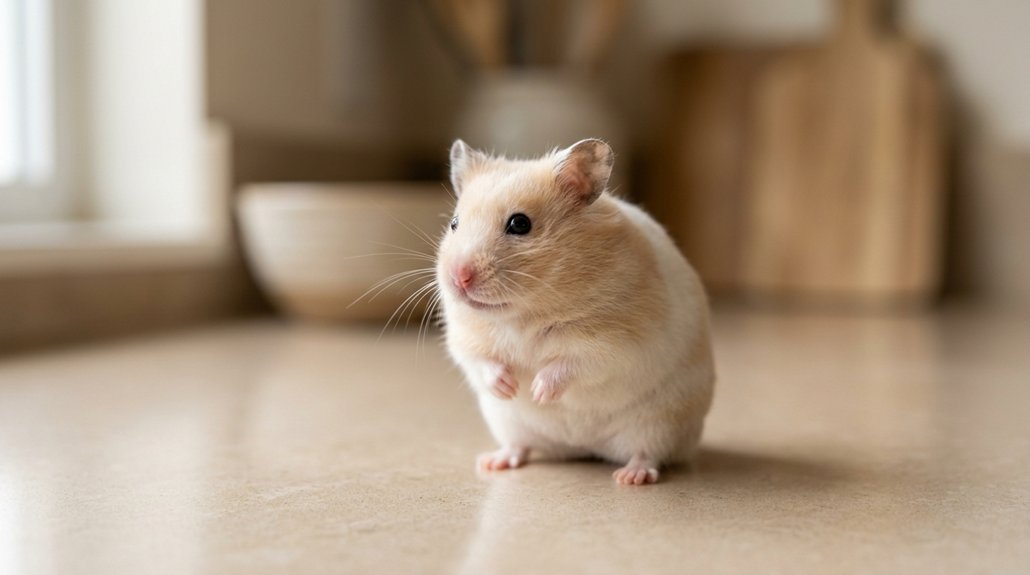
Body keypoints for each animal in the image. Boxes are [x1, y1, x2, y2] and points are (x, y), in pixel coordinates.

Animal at [436, 138, 715, 485]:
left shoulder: (619, 343)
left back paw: (630, 477)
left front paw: (539, 391)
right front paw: (509, 388)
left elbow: (573, 363)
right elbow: (481, 361)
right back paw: (492, 462)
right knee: (520, 446)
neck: (524, 313)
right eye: (454, 224)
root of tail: (585, 448)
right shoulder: (464, 338)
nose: (458, 277)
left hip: (660, 423)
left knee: (649, 454)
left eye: (520, 224)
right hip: (508, 424)